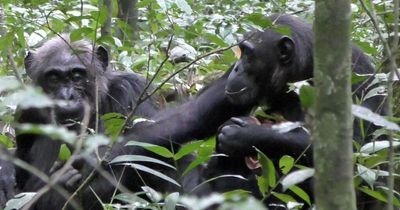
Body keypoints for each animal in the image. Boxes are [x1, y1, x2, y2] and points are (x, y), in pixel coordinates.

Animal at [216, 14, 388, 208]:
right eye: (241, 50)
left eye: (248, 53)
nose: (236, 67)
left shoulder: (354, 75)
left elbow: (356, 149)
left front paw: (245, 135)